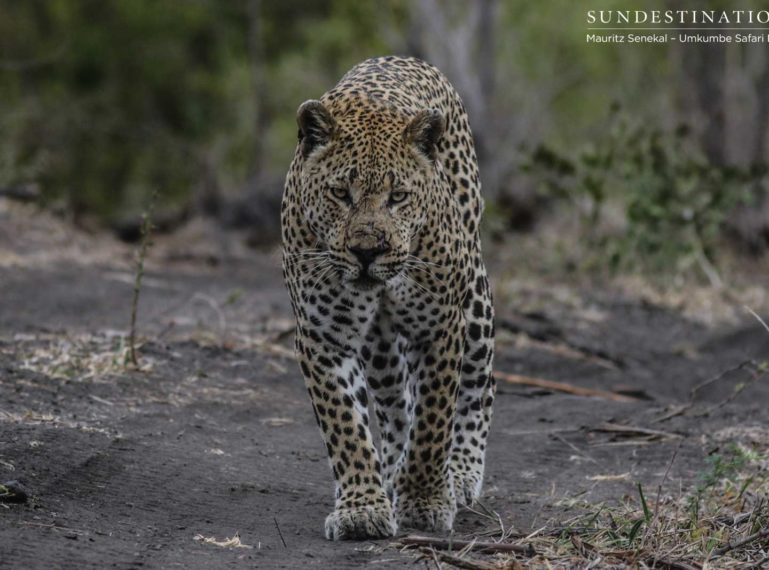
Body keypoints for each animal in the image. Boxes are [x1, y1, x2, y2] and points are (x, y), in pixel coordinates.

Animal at [280, 55, 496, 540]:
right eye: (341, 193)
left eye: (398, 197)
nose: (367, 251)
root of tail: (403, 58)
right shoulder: (324, 335)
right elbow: (346, 426)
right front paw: (362, 508)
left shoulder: (439, 325)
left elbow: (434, 420)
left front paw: (425, 500)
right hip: (379, 344)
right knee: (395, 401)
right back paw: (393, 471)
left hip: (473, 296)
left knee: (477, 385)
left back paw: (460, 473)